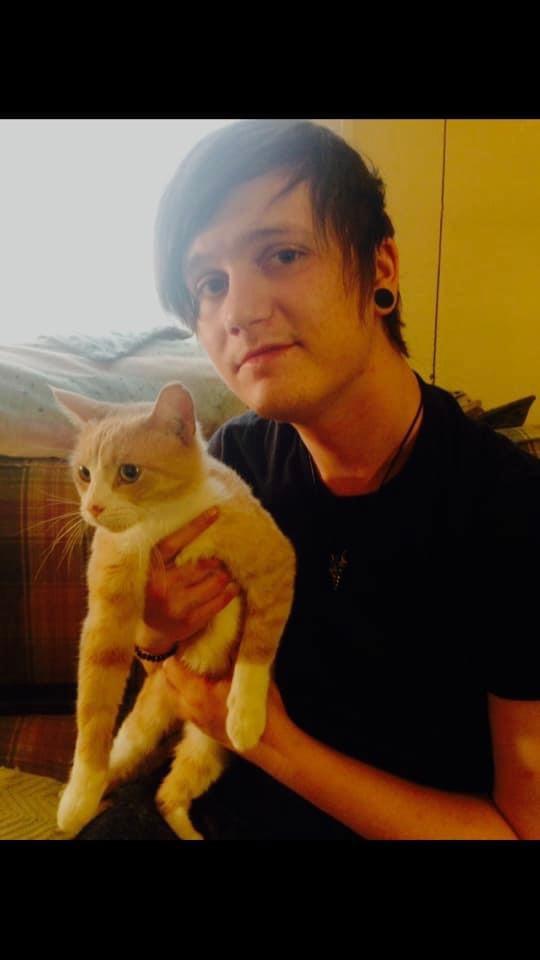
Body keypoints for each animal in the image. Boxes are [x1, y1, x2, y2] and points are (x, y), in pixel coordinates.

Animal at [51, 381, 295, 840]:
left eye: (129, 472)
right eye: (84, 473)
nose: (92, 508)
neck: (163, 521)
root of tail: (176, 716)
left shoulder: (276, 561)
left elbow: (258, 647)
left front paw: (245, 715)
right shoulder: (108, 612)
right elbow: (93, 706)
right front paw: (78, 797)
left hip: (209, 752)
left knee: (169, 794)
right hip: (137, 734)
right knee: (128, 771)